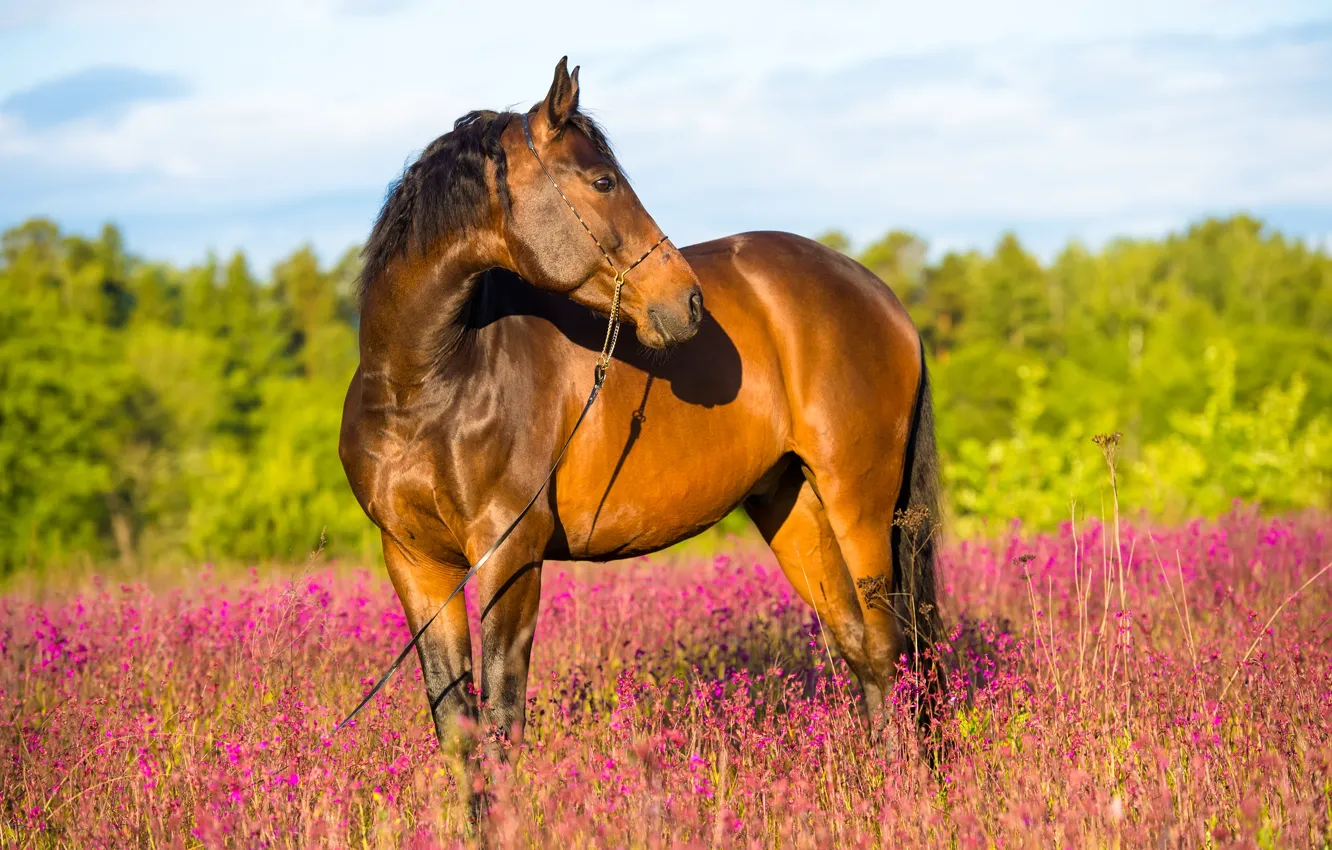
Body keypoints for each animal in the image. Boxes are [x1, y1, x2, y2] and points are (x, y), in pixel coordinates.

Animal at [343, 59, 948, 762]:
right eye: (603, 180)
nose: (687, 301)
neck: (426, 383)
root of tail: (880, 294)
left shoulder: (509, 555)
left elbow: (502, 719)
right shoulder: (417, 567)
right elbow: (459, 730)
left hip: (861, 504)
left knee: (890, 646)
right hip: (794, 506)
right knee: (861, 650)